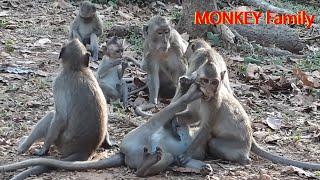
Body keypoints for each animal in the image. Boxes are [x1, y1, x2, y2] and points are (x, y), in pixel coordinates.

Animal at [1, 83, 215, 177]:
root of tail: (124, 153)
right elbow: (174, 117)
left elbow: (184, 158)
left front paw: (203, 167)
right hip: (139, 133)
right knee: (164, 115)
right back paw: (189, 95)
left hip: (145, 152)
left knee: (166, 158)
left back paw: (148, 164)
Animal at [5, 38, 112, 179]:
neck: (77, 69)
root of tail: (87, 150)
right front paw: (108, 141)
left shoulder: (58, 82)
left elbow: (60, 117)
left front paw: (43, 149)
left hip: (63, 142)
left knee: (51, 116)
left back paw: (23, 146)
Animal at [175, 52, 320, 170]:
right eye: (205, 81)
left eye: (214, 82)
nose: (210, 90)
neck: (204, 97)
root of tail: (250, 137)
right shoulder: (196, 95)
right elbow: (193, 115)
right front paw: (175, 120)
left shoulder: (214, 103)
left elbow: (206, 127)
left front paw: (186, 155)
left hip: (238, 145)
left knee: (214, 143)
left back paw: (243, 160)